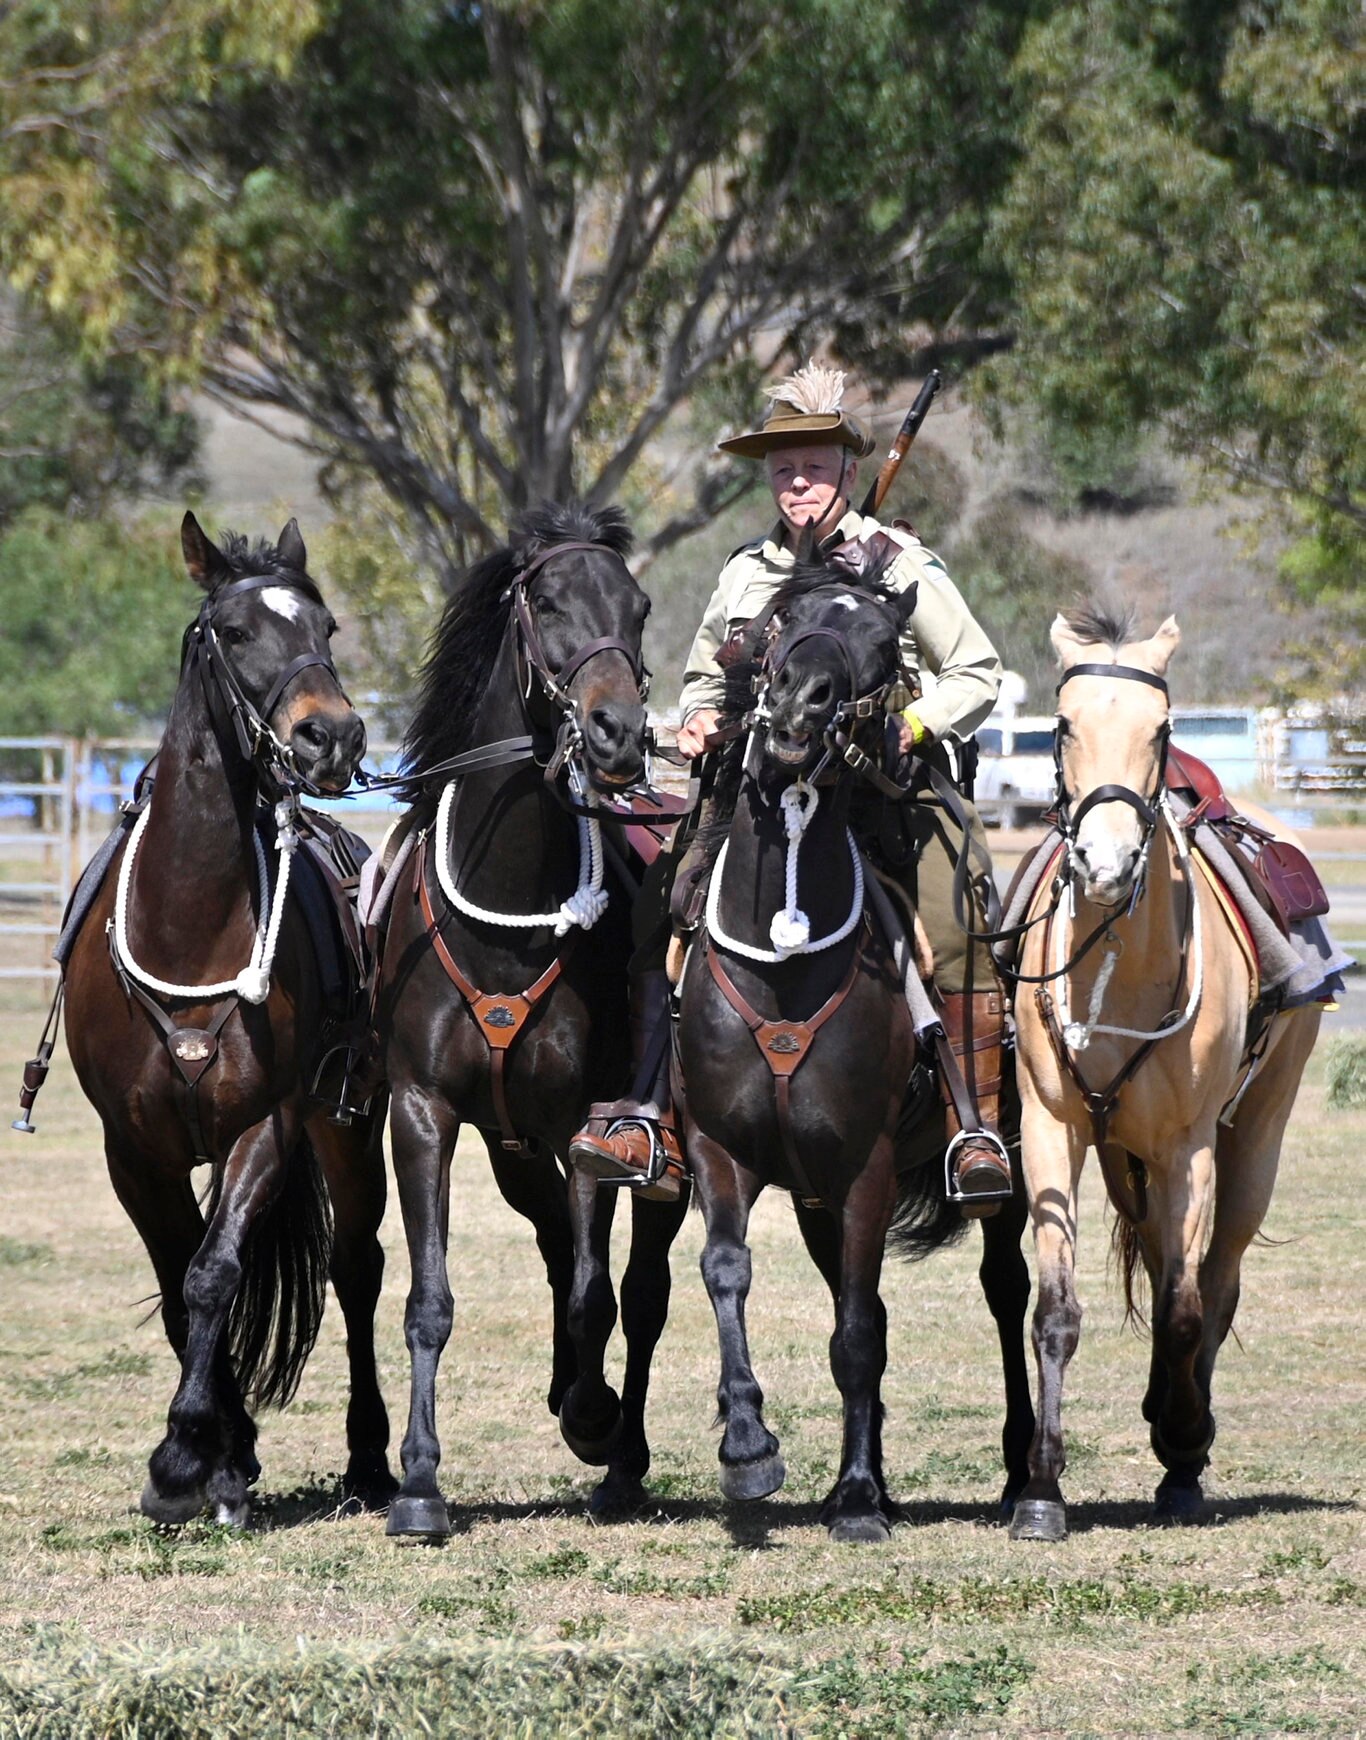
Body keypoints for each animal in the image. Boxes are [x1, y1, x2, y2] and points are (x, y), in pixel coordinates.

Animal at [59, 515, 395, 1524]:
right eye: (237, 632)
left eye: (326, 627)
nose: (333, 735)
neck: (189, 922)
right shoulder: (133, 1150)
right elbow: (180, 1283)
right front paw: (218, 1454)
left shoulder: (265, 1127)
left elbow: (214, 1275)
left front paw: (181, 1459)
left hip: (347, 1128)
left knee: (356, 1271)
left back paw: (372, 1460)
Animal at [375, 504, 689, 1538]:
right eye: (545, 603)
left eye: (638, 606)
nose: (619, 732)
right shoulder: (424, 1113)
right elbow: (430, 1300)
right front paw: (419, 1484)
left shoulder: (587, 1122)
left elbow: (599, 1296)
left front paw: (593, 1419)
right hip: (509, 1148)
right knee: (555, 1242)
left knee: (641, 1290)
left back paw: (618, 1451)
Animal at [671, 549, 1037, 1545]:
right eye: (779, 623)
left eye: (879, 642)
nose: (800, 705)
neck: (784, 967)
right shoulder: (724, 1152)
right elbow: (729, 1274)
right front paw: (749, 1447)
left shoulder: (866, 1164)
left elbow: (859, 1332)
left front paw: (863, 1498)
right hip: (812, 1200)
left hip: (1005, 1171)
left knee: (1005, 1288)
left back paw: (1024, 1476)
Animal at [1009, 609, 1315, 1538]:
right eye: (1063, 725)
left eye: (1163, 729)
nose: (1105, 867)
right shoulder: (1054, 1131)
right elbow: (1056, 1312)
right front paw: (1041, 1490)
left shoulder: (1190, 1150)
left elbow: (1184, 1311)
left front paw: (1182, 1454)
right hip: (1124, 1158)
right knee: (1159, 1257)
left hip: (1252, 1148)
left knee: (1215, 1284)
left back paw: (1187, 1427)